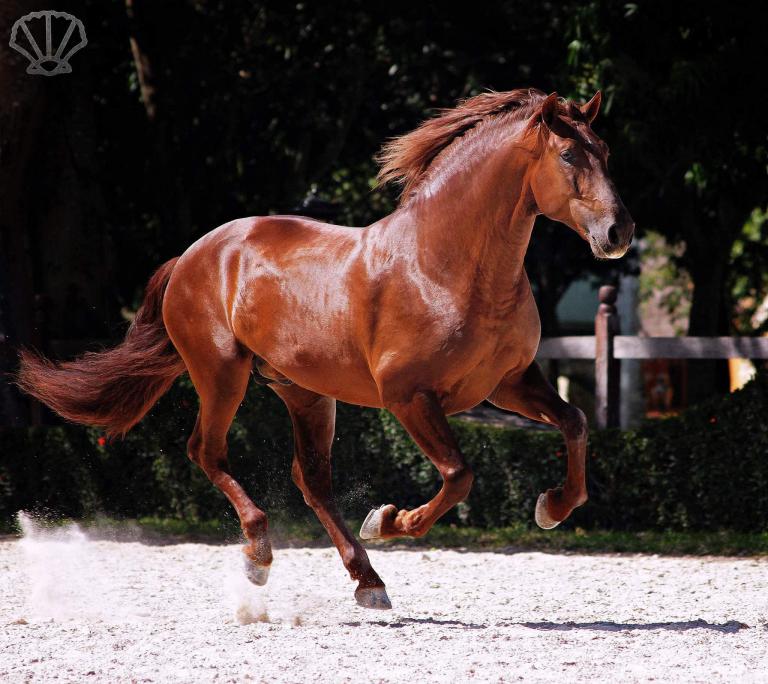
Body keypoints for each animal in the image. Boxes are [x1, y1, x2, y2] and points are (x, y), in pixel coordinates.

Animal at [17, 88, 634, 610]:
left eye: (606, 151)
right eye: (569, 155)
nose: (618, 233)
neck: (446, 265)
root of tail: (194, 254)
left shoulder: (508, 383)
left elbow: (576, 422)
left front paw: (552, 508)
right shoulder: (409, 397)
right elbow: (459, 474)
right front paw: (387, 520)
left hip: (305, 393)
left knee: (310, 480)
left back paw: (368, 581)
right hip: (222, 374)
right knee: (207, 452)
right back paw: (261, 554)